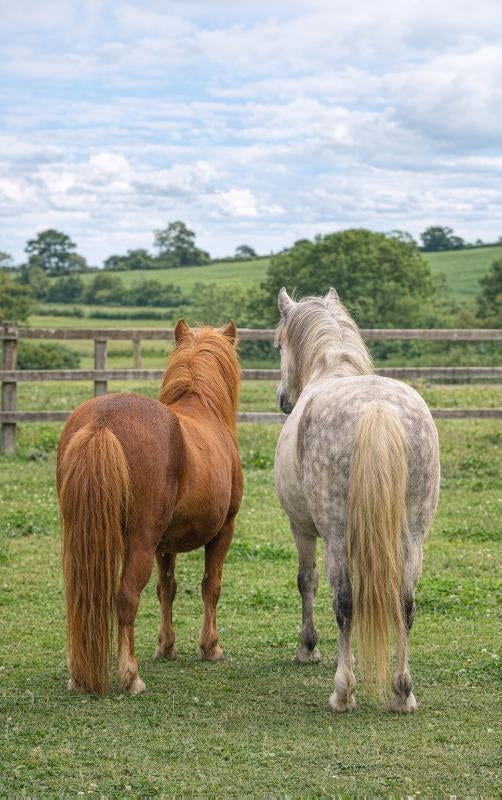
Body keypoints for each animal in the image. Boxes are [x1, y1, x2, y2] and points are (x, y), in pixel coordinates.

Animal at [57, 319, 242, 696]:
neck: (203, 408)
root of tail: (102, 422)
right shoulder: (223, 531)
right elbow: (211, 586)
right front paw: (210, 647)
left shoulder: (164, 545)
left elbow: (166, 589)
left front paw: (166, 646)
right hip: (139, 544)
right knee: (126, 598)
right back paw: (131, 677)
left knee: (80, 598)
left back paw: (78, 676)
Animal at [274, 288, 440, 713]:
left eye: (278, 345)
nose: (283, 399)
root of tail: (376, 408)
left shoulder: (300, 527)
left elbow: (307, 581)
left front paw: (309, 649)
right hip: (413, 536)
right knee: (405, 602)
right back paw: (403, 693)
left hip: (335, 536)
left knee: (345, 602)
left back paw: (342, 692)